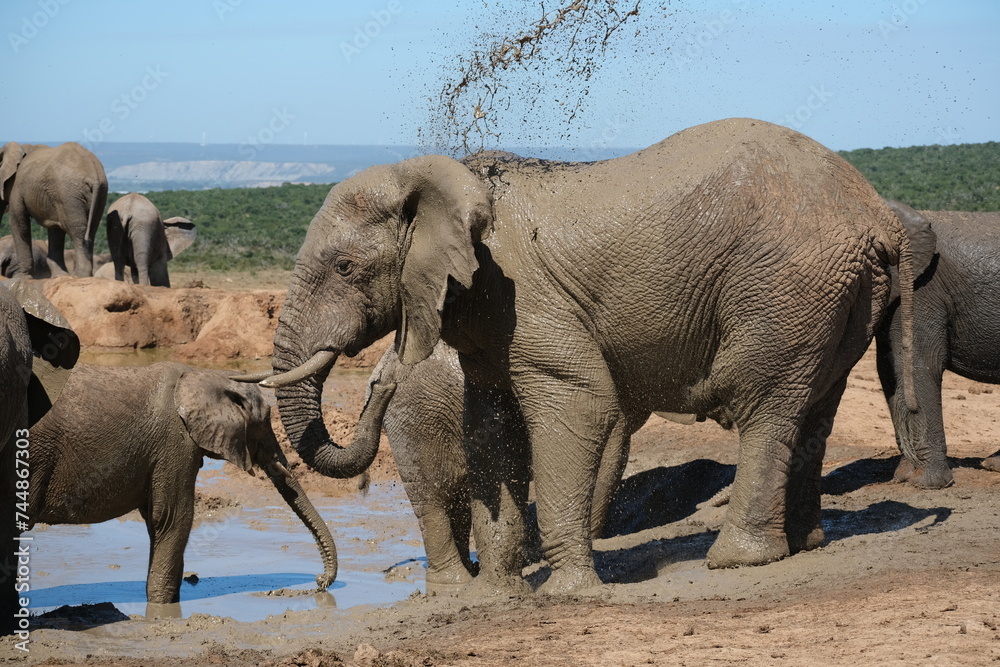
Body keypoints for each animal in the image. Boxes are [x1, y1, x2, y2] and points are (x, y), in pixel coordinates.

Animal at [0, 142, 108, 277]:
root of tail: (93, 172)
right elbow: (55, 230)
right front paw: (59, 275)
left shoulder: (17, 186)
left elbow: (20, 224)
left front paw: (21, 276)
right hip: (98, 193)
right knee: (91, 229)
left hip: (68, 194)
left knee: (77, 231)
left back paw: (78, 276)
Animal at [27, 362, 340, 605]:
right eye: (264, 423)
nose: (319, 582)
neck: (206, 376)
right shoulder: (174, 441)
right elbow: (173, 518)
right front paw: (161, 608)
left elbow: (162, 520)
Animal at [368, 340, 628, 591]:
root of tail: (381, 370)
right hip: (417, 420)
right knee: (432, 501)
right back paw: (452, 584)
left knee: (456, 500)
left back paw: (470, 572)